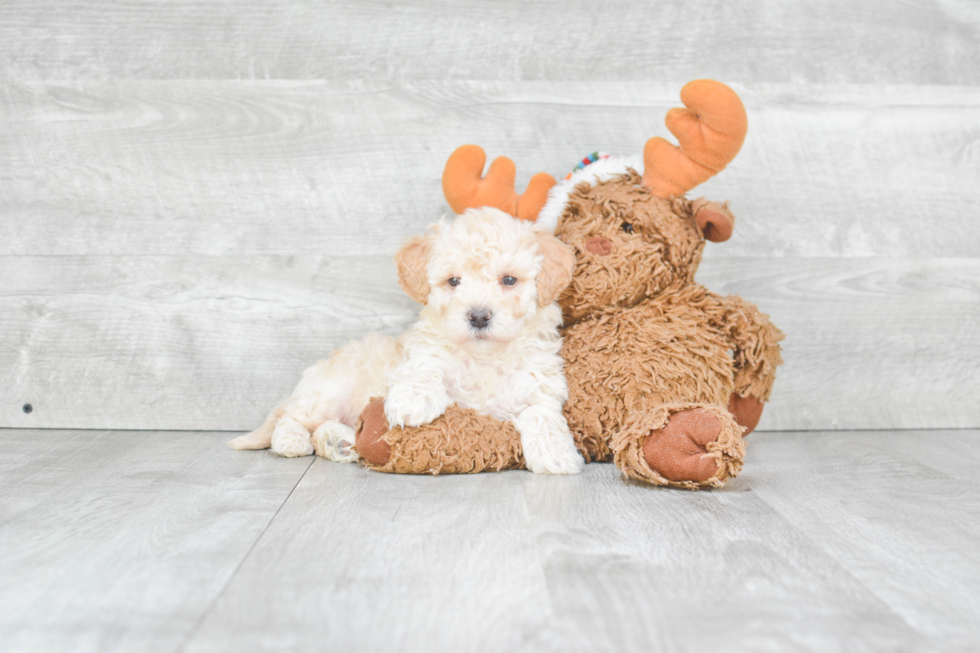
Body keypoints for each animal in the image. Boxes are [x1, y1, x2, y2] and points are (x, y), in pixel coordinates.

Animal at [230, 208, 580, 474]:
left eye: (509, 280)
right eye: (453, 281)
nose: (479, 316)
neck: (484, 356)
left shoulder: (541, 382)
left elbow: (541, 412)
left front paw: (555, 453)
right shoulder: (420, 354)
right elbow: (426, 367)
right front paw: (414, 400)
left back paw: (340, 442)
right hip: (328, 393)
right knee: (290, 419)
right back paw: (294, 440)